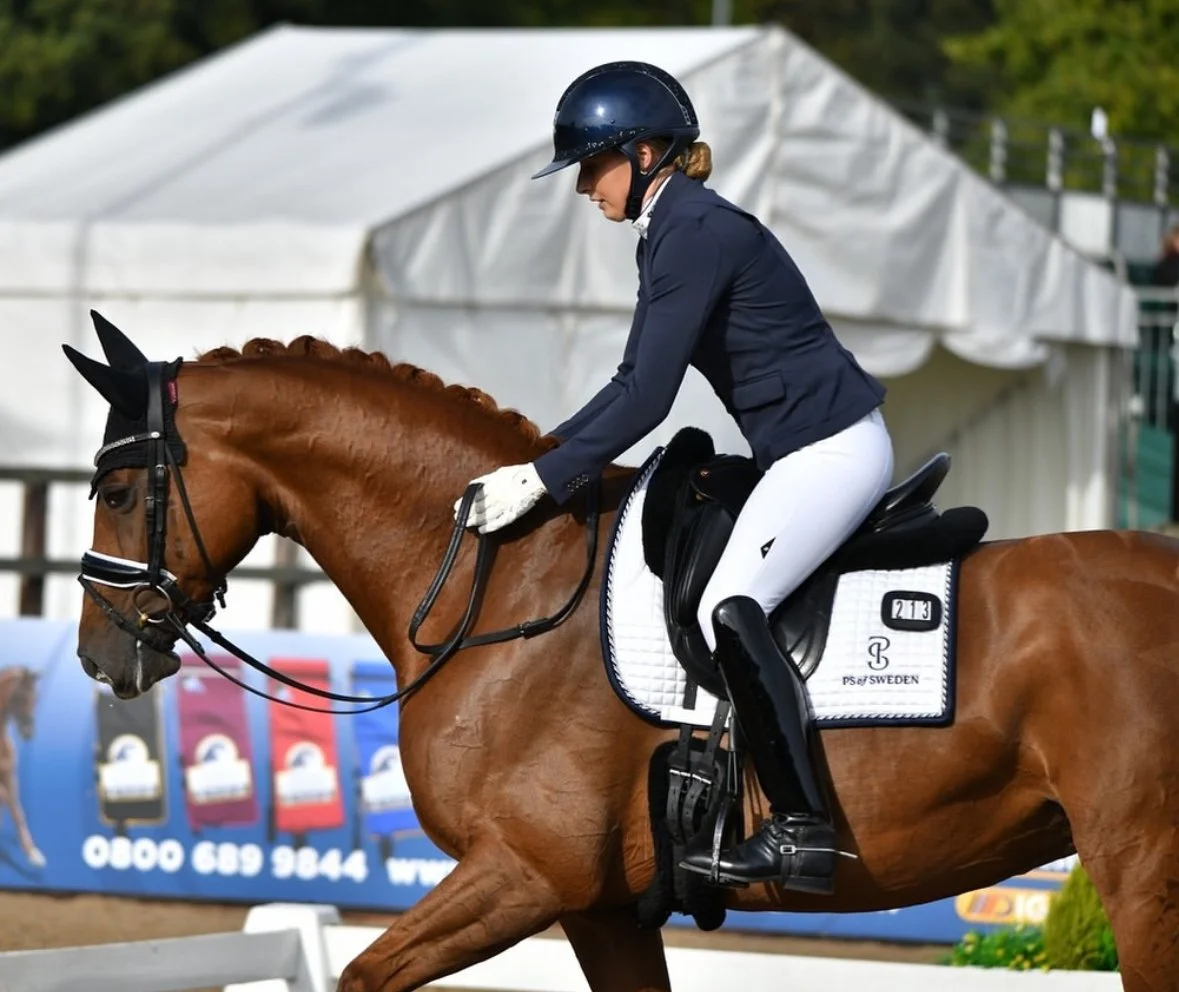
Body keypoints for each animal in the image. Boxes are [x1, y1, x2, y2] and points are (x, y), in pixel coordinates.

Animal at [63, 321, 1179, 992]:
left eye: (115, 492)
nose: (100, 654)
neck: (508, 584)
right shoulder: (601, 906)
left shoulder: (523, 873)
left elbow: (363, 974)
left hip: (1142, 875)